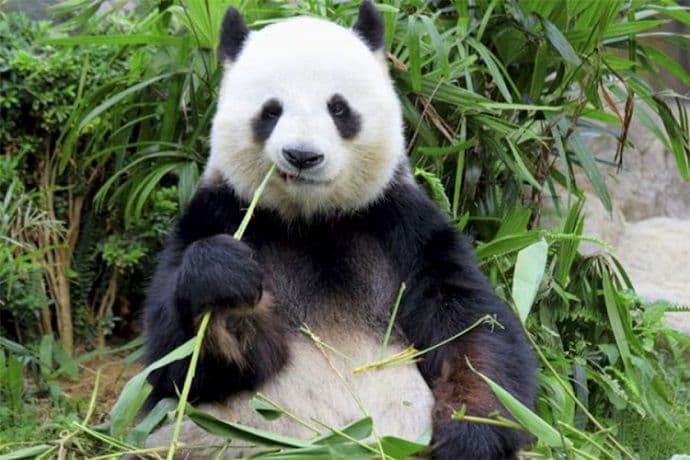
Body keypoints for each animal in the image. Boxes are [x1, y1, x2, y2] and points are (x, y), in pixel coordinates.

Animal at [143, 2, 536, 458]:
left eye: (338, 108)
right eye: (271, 111)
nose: (302, 156)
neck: (313, 221)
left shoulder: (402, 227)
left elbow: (472, 330)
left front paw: (470, 436)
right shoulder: (218, 213)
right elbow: (180, 366)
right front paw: (224, 285)